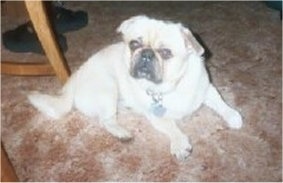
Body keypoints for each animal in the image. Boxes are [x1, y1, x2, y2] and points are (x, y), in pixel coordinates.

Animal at [27, 15, 243, 160]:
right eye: (134, 44)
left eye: (166, 52)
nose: (146, 53)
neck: (169, 88)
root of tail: (74, 79)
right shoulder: (157, 116)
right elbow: (172, 128)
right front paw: (180, 143)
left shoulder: (207, 89)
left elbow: (221, 103)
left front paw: (233, 115)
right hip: (108, 89)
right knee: (106, 120)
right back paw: (122, 133)